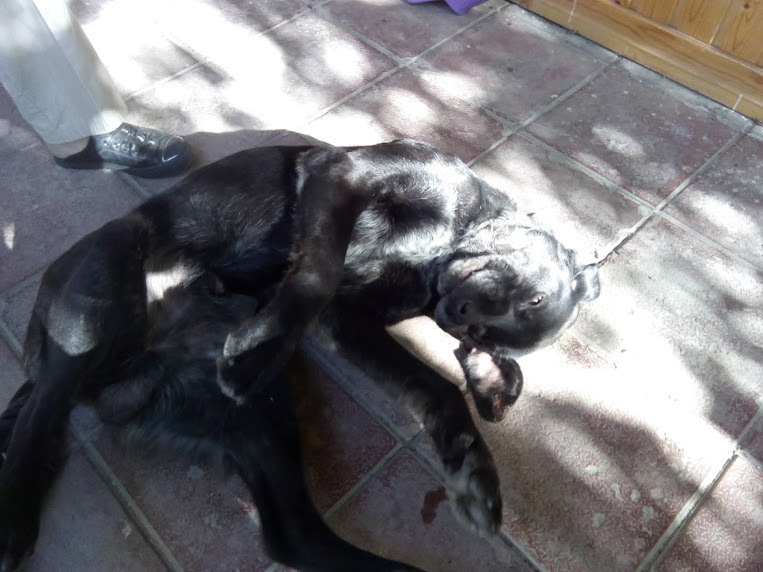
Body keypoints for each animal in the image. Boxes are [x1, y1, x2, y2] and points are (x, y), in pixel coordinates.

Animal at [0, 139, 599, 571]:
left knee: (293, 536)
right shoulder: (342, 177)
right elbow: (318, 270)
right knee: (38, 416)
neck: (441, 248)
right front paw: (255, 347)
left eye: (486, 339)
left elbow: (436, 385)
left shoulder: (349, 321)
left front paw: (472, 462)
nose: (457, 313)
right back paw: (15, 518)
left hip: (262, 418)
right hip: (93, 309)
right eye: (532, 297)